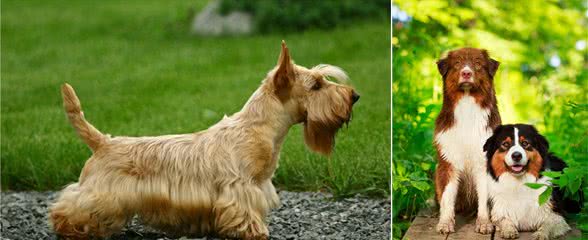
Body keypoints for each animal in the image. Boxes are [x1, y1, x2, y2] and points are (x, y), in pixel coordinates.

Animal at [50, 40, 360, 238]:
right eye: (316, 85)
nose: (354, 96)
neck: (256, 128)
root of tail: (103, 141)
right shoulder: (240, 188)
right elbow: (245, 214)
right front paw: (255, 231)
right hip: (99, 194)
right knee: (69, 207)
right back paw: (71, 228)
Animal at [432, 47, 500, 234]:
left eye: (477, 63)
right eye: (457, 63)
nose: (466, 73)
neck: (467, 105)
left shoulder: (483, 163)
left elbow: (484, 198)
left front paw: (484, 222)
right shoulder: (448, 162)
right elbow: (447, 197)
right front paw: (445, 222)